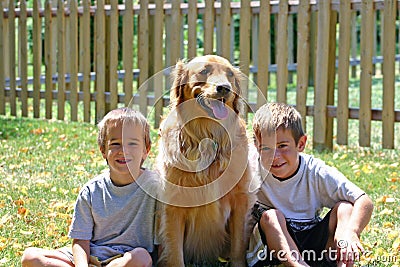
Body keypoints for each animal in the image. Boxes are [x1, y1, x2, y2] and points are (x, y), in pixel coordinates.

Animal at [157, 55, 255, 266]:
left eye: (229, 74)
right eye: (204, 71)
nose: (224, 88)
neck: (207, 136)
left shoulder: (240, 200)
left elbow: (238, 247)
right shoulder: (173, 204)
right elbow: (175, 253)